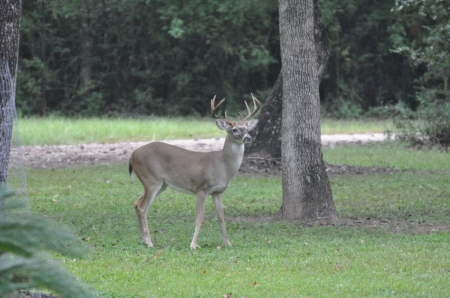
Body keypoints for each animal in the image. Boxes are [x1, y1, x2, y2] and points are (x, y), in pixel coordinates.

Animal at [127, 95, 260, 249]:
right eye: (234, 130)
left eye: (246, 128)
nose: (248, 137)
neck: (222, 165)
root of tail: (132, 155)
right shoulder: (201, 188)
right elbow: (199, 218)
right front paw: (193, 245)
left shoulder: (218, 191)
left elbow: (221, 217)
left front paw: (228, 243)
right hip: (151, 179)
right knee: (143, 207)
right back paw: (149, 242)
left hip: (161, 184)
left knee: (136, 203)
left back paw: (143, 239)